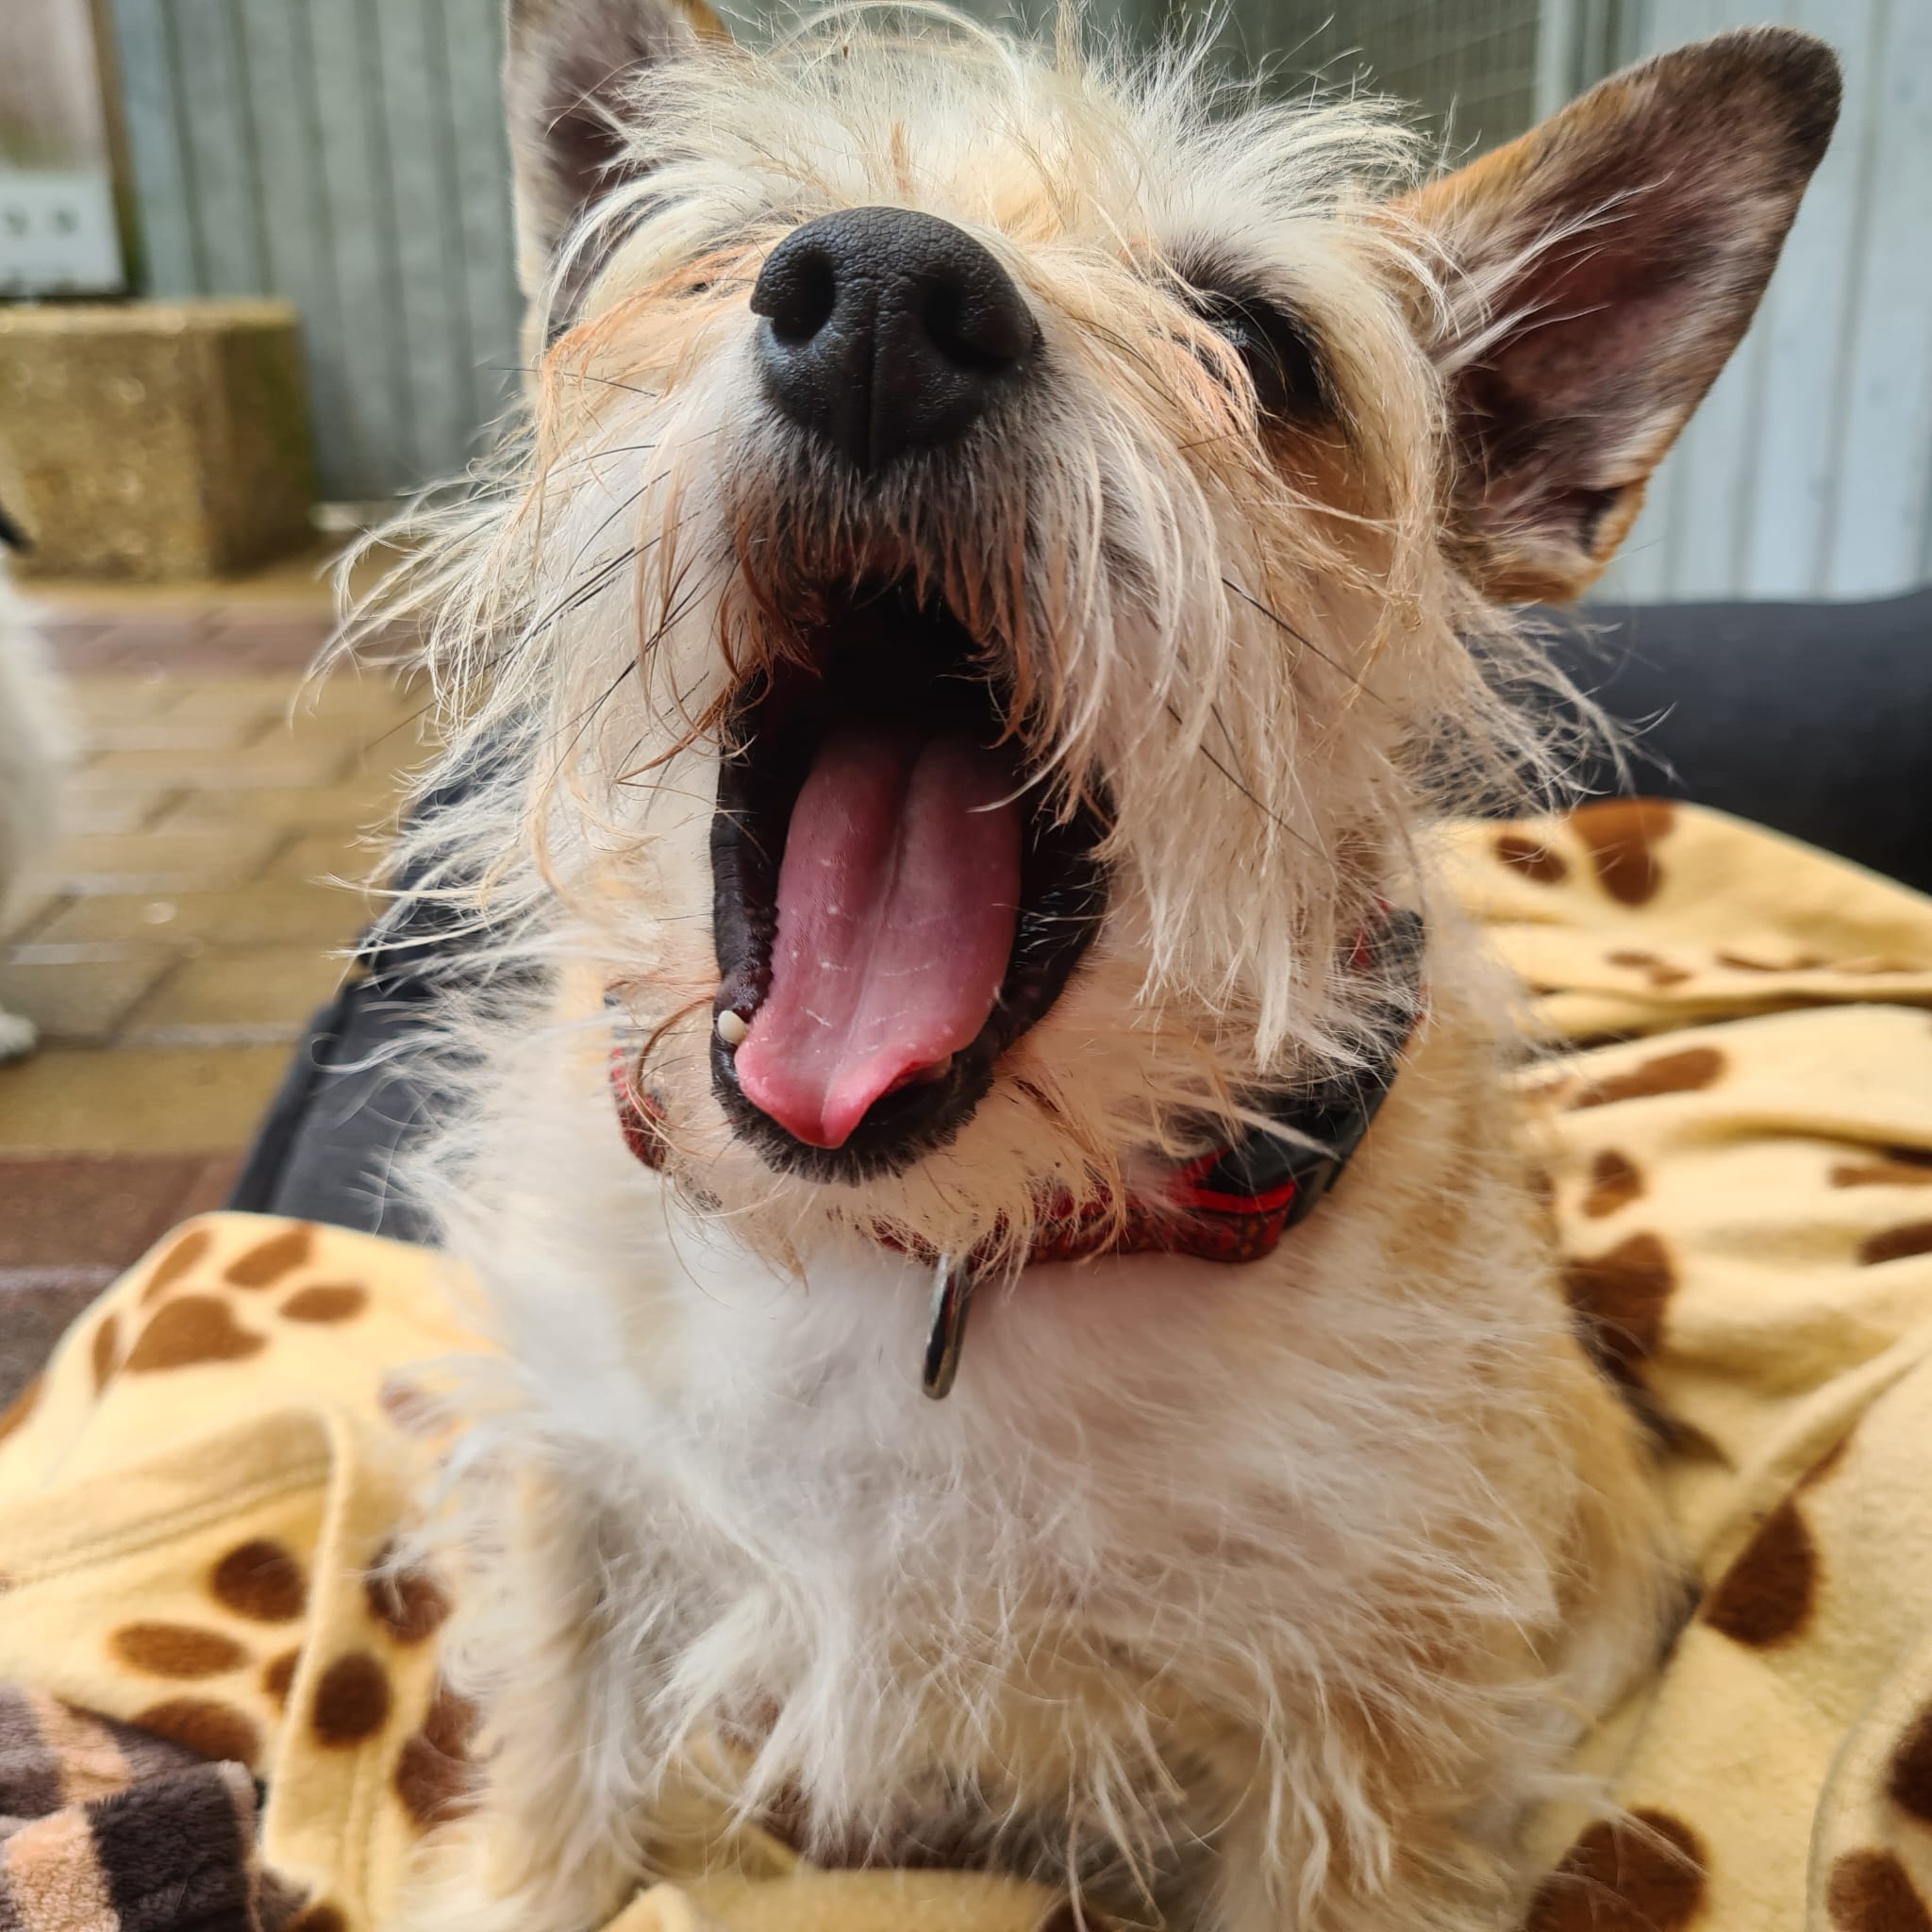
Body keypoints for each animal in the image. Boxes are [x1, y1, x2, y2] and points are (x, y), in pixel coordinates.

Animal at [358, 8, 1838, 1927]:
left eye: (1260, 344)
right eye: (723, 247)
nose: (882, 295)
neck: (929, 1255)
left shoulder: (1368, 1725)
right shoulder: (581, 1484)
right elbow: (555, 1764)